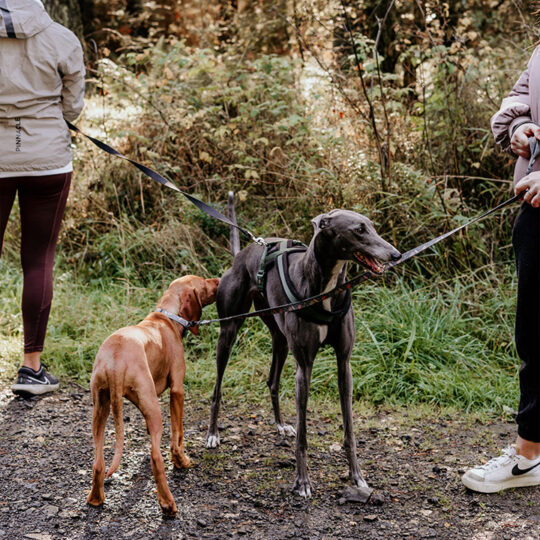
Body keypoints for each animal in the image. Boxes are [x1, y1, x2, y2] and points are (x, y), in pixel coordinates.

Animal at [85, 276, 218, 516]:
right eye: (203, 283)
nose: (219, 280)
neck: (167, 317)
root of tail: (115, 361)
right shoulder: (177, 390)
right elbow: (178, 435)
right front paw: (181, 460)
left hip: (101, 408)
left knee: (98, 462)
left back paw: (95, 499)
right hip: (154, 409)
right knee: (156, 458)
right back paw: (167, 504)